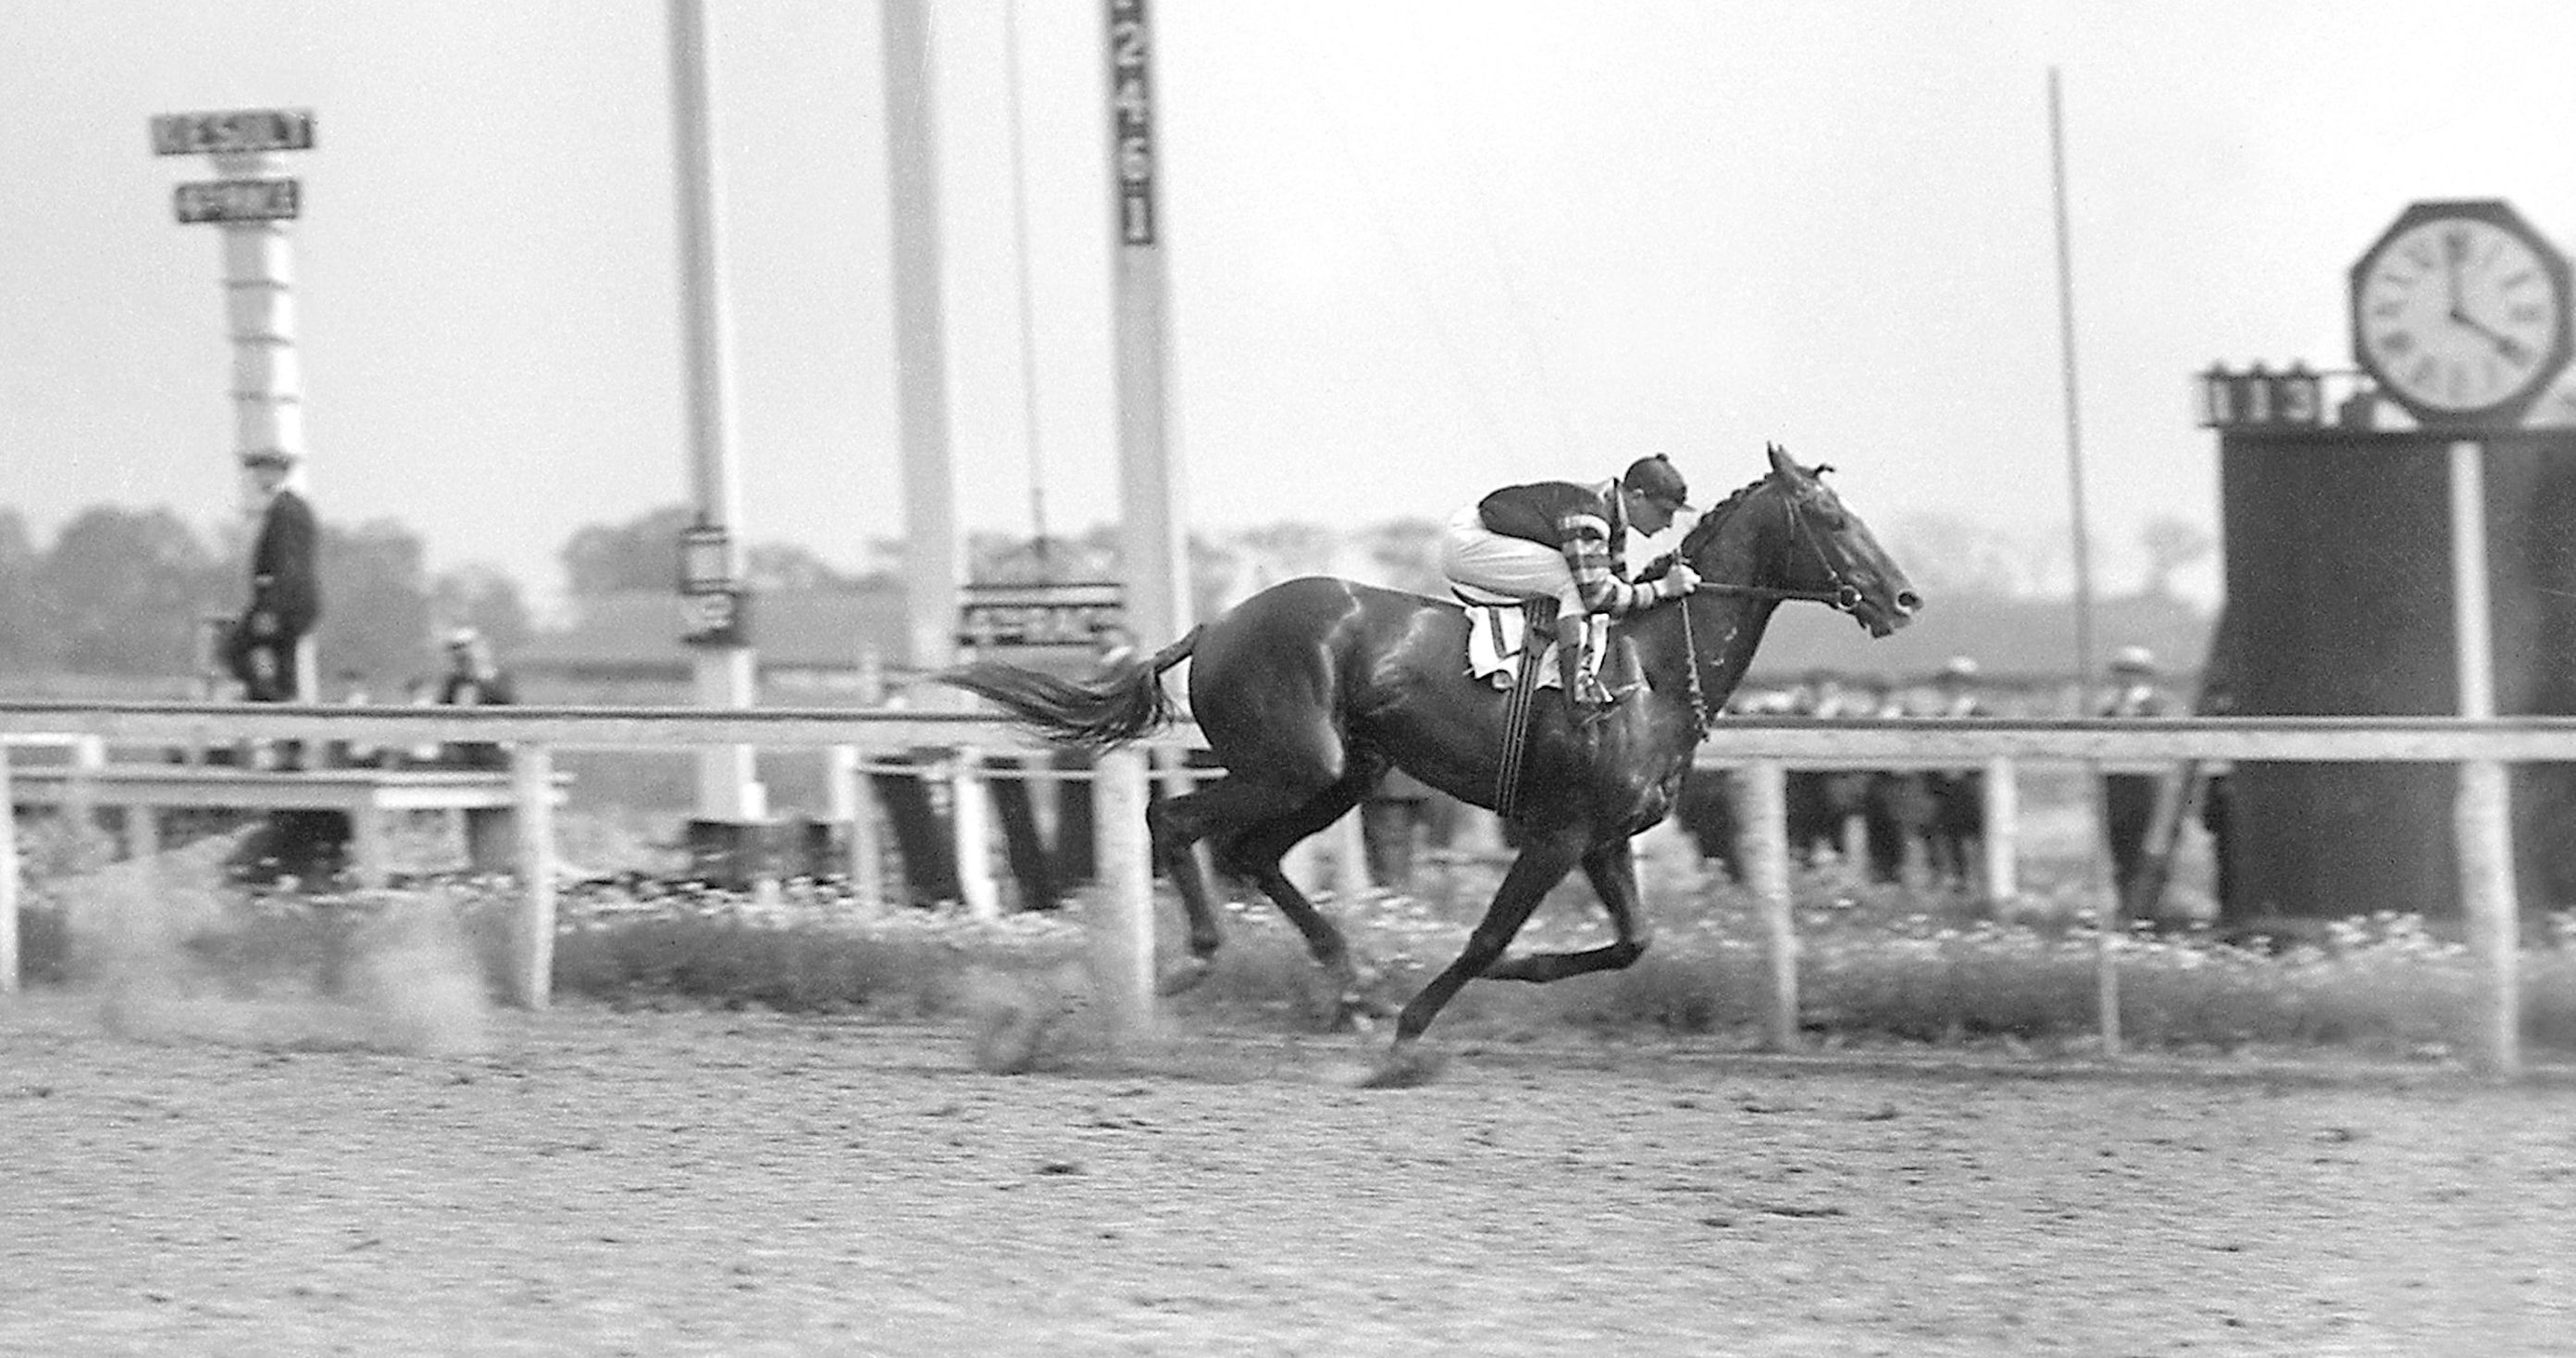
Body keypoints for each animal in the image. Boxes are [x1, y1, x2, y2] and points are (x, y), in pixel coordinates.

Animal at [942, 445, 1916, 1082]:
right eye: (1830, 518)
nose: (1903, 598)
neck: (1649, 667)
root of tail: (1216, 623)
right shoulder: (1558, 830)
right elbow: (1488, 935)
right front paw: (1411, 1032)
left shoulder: (1605, 837)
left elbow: (1631, 943)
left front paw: (1504, 976)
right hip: (1296, 765)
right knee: (1174, 820)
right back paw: (1197, 964)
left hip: (1347, 773)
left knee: (1250, 853)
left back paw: (1351, 980)